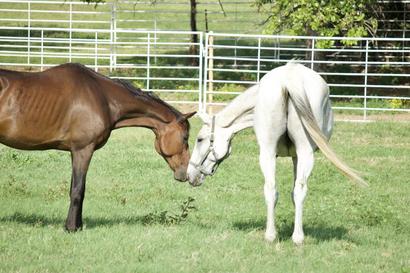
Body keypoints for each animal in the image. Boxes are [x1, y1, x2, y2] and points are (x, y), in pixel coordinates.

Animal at [0, 62, 196, 231]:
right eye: (185, 137)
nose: (187, 173)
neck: (103, 97)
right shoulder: (83, 150)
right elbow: (77, 190)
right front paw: (71, 228)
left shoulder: (76, 152)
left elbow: (78, 189)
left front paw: (77, 226)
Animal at [187, 62, 366, 244]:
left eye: (199, 139)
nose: (190, 175)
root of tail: (289, 79)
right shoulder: (295, 156)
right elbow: (294, 192)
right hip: (300, 152)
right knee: (295, 189)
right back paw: (294, 237)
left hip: (272, 152)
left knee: (274, 189)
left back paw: (275, 235)